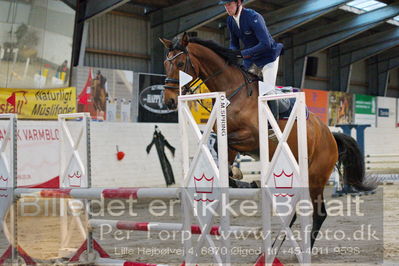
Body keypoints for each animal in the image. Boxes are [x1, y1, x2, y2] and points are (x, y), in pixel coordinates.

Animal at [160, 33, 378, 249]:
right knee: (293, 213)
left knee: (319, 213)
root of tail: (330, 136)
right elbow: (223, 153)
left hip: (315, 177)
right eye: (165, 63)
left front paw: (239, 176)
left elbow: (228, 142)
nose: (168, 101)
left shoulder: (252, 137)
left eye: (180, 63)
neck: (232, 92)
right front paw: (234, 177)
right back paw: (273, 248)